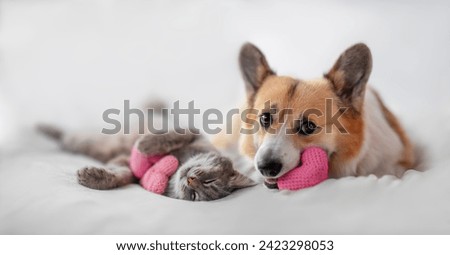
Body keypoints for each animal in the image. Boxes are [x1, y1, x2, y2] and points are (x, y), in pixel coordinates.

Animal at [39, 125, 253, 201]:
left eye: (194, 196)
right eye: (210, 180)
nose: (191, 180)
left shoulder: (128, 168)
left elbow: (121, 175)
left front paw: (94, 176)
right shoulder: (191, 130)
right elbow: (175, 134)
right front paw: (146, 144)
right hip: (84, 139)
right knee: (64, 133)